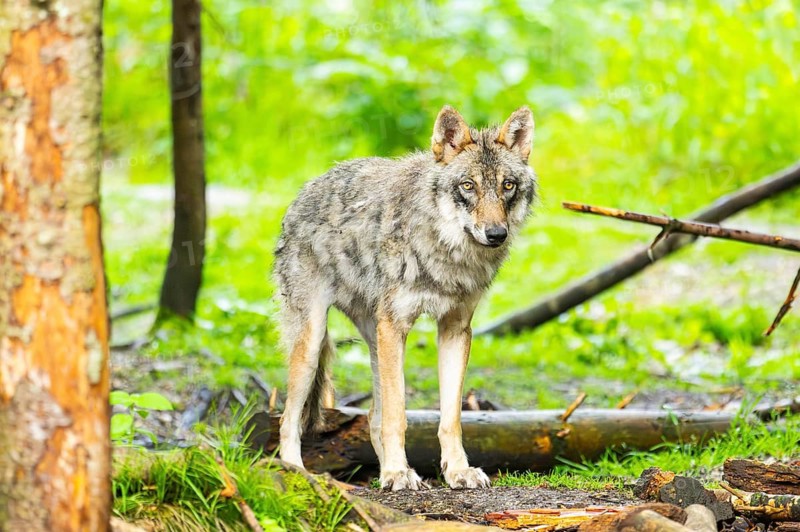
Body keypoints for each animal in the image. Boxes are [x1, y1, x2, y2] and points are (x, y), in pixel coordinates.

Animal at [274, 105, 536, 490]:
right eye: (468, 186)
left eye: (508, 185)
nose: (496, 234)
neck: (446, 252)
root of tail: (305, 191)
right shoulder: (395, 326)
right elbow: (399, 414)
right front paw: (397, 473)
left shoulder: (455, 329)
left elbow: (451, 417)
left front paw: (456, 471)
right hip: (314, 342)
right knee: (289, 418)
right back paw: (300, 473)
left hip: (373, 340)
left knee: (371, 414)